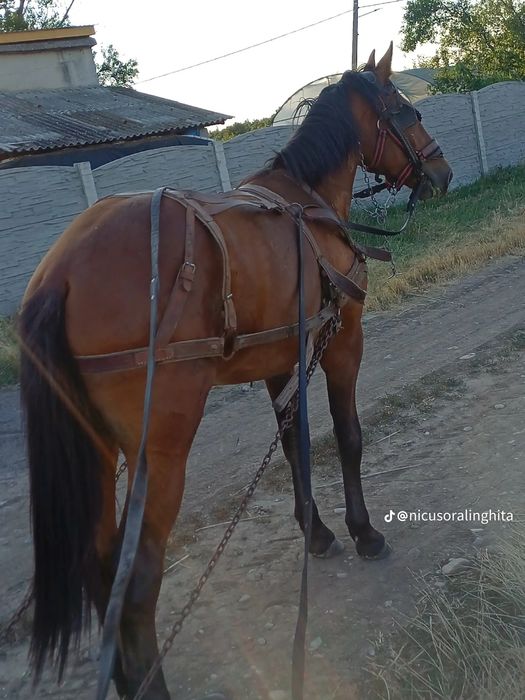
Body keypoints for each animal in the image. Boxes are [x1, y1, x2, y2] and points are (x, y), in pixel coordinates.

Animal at [18, 44, 452, 699]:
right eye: (406, 112)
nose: (442, 173)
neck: (308, 204)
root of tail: (59, 275)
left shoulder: (282, 360)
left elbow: (294, 446)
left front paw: (316, 533)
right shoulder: (344, 343)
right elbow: (348, 438)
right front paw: (363, 532)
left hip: (96, 451)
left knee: (102, 575)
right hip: (160, 452)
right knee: (136, 587)